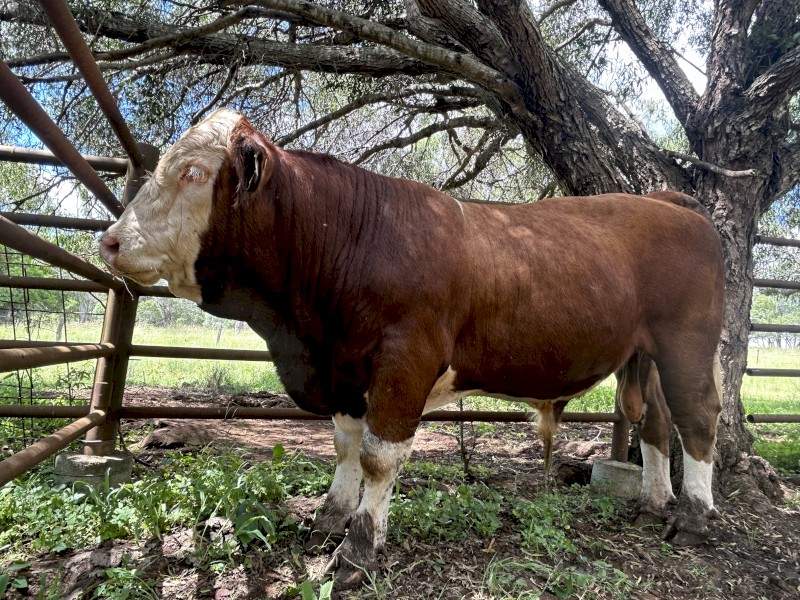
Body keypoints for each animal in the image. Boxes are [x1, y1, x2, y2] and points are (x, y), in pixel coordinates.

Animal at [99, 108, 724, 587]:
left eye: (194, 173)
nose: (109, 241)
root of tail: (667, 201)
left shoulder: (404, 363)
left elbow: (379, 457)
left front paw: (358, 550)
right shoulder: (344, 369)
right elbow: (346, 448)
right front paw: (328, 518)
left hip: (687, 342)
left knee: (698, 419)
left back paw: (693, 519)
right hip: (644, 355)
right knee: (656, 422)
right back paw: (653, 502)